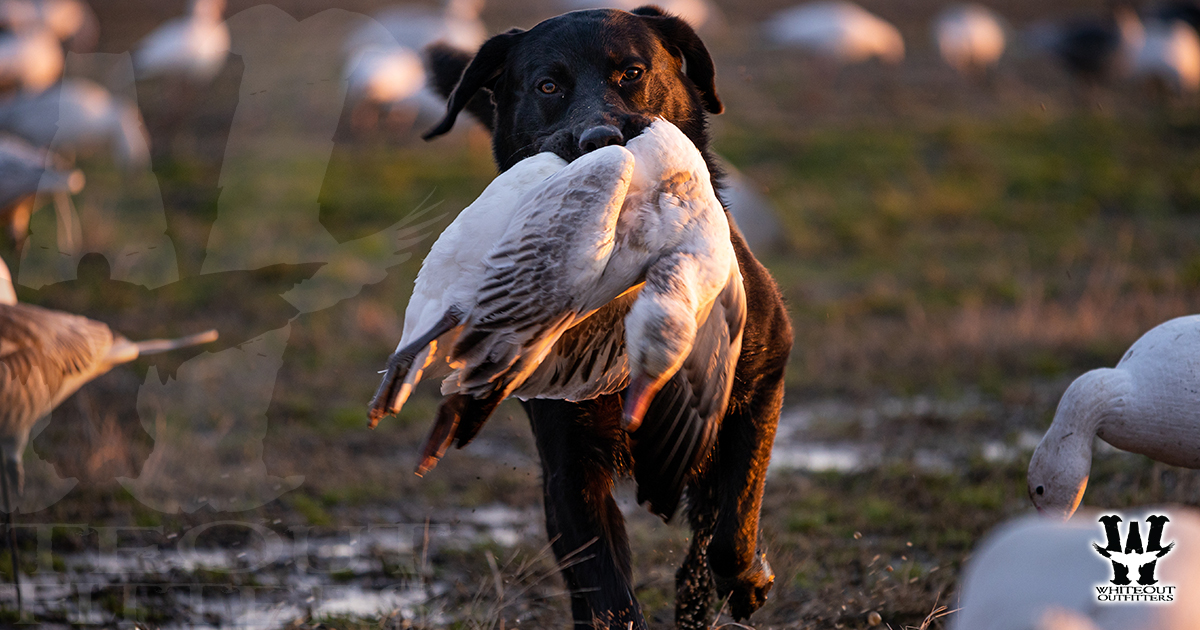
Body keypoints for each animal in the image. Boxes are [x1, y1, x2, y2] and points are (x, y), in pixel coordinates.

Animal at [417, 6, 792, 628]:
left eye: (632, 72)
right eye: (548, 86)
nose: (601, 140)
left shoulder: (762, 380)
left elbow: (733, 521)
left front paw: (747, 580)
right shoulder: (570, 465)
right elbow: (607, 592)